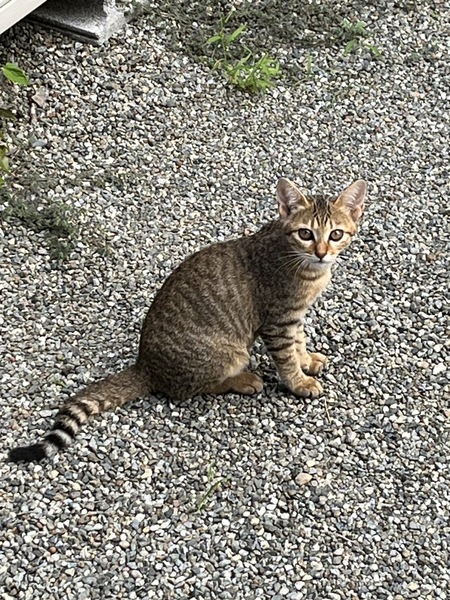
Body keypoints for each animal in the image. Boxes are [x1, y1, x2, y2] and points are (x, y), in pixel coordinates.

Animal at [8, 177, 366, 463]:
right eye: (306, 233)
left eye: (336, 234)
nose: (321, 252)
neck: (303, 265)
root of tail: (145, 365)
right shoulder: (278, 320)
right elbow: (286, 355)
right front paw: (298, 381)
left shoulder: (295, 315)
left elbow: (299, 341)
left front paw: (307, 360)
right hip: (230, 351)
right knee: (189, 389)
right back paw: (243, 380)